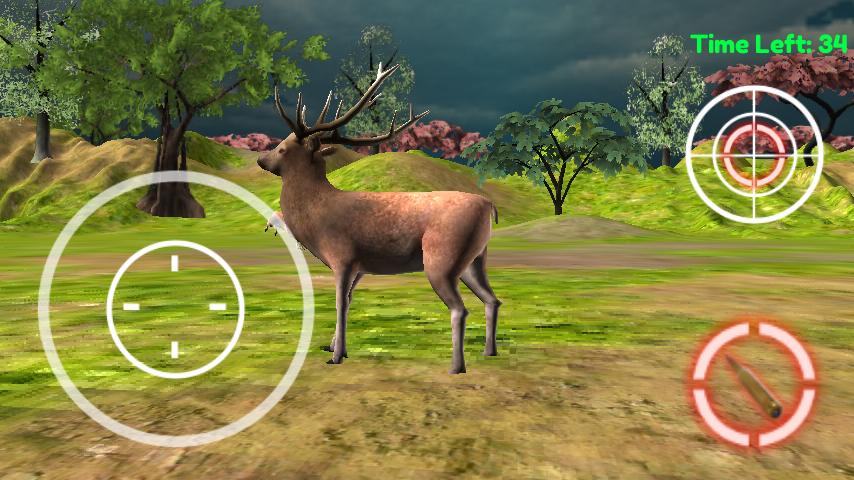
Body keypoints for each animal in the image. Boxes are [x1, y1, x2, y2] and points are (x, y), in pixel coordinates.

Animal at [256, 63, 501, 374]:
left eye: (283, 148)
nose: (261, 160)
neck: (315, 218)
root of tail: (487, 205)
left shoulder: (343, 257)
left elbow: (339, 303)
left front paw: (336, 356)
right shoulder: (360, 267)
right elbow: (349, 300)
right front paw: (333, 347)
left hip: (442, 257)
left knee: (460, 308)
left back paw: (456, 367)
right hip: (475, 260)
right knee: (493, 300)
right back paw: (489, 352)